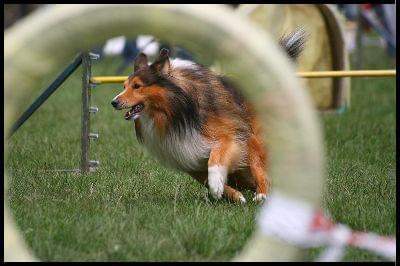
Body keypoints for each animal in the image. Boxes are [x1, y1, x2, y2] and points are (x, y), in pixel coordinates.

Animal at [112, 29, 306, 203]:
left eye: (137, 86)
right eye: (124, 86)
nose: (114, 102)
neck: (175, 112)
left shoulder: (229, 136)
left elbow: (215, 161)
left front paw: (217, 185)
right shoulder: (187, 156)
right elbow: (204, 179)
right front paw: (233, 195)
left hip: (252, 137)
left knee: (260, 168)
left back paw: (262, 194)